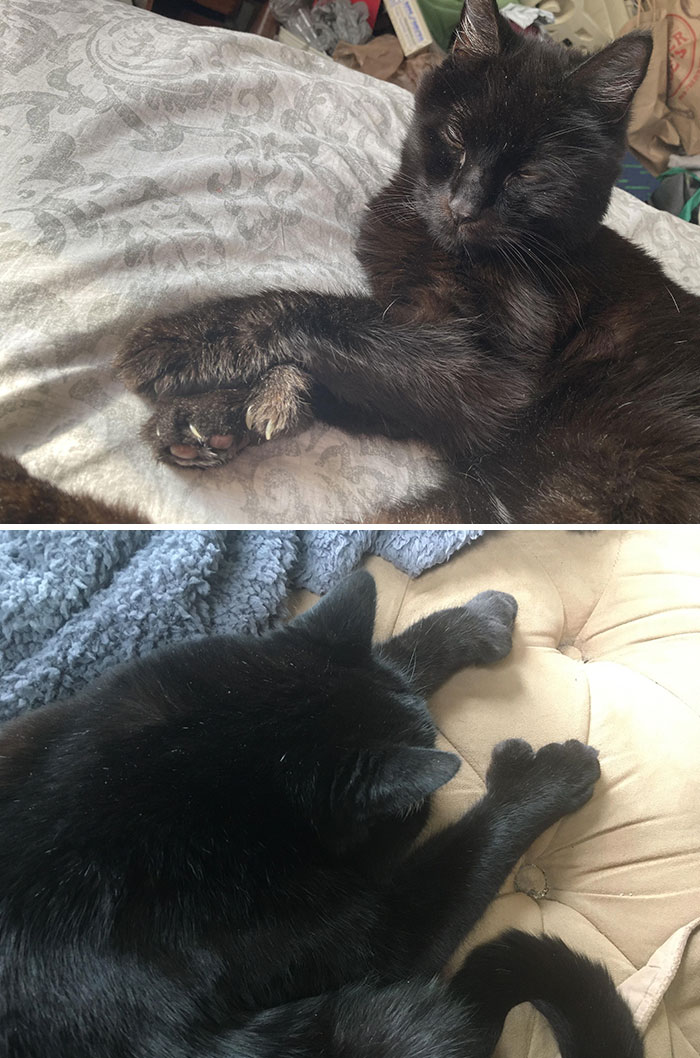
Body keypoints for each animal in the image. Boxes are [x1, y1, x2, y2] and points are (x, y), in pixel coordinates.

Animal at [0, 575, 642, 1053]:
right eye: (414, 815)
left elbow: (400, 661)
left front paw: (475, 622)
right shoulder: (384, 938)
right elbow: (477, 840)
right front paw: (541, 779)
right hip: (388, 1023)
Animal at [113, 0, 700, 524]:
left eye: (531, 173)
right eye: (458, 137)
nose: (462, 207)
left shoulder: (492, 380)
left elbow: (327, 314)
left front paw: (187, 340)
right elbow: (356, 368)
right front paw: (215, 414)